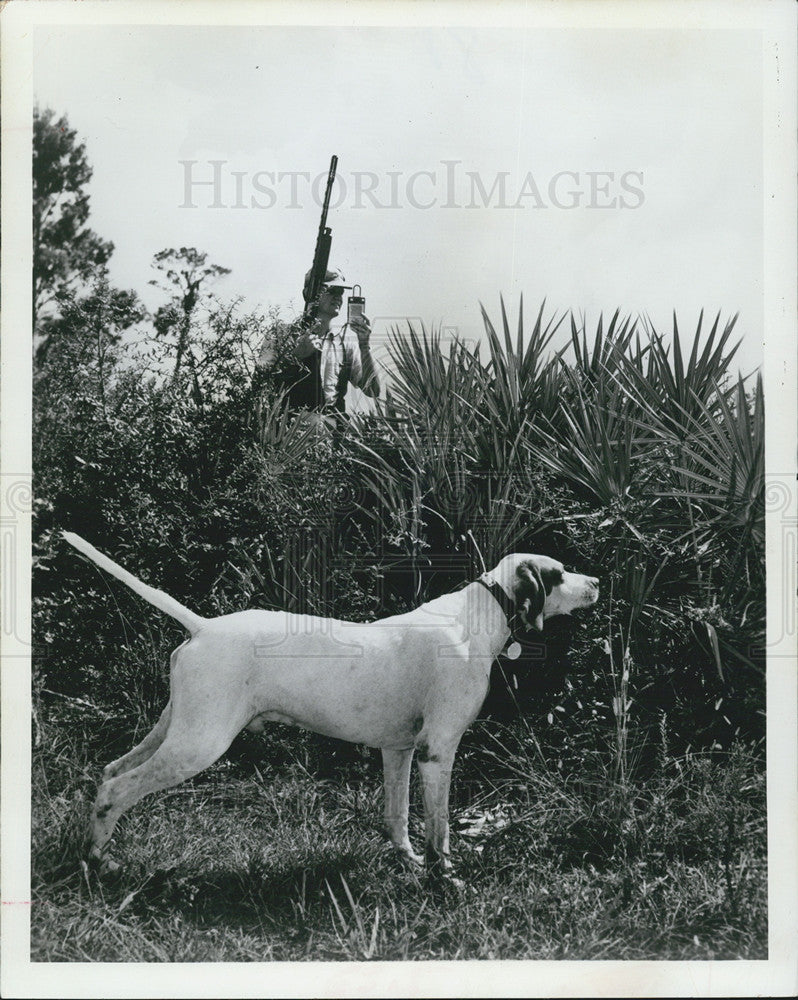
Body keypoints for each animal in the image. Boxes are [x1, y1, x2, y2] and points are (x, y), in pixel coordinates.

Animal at [64, 532, 600, 876]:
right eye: (558, 573)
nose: (596, 582)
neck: (475, 618)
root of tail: (204, 626)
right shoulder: (437, 751)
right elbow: (441, 830)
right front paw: (443, 876)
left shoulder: (400, 750)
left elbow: (397, 818)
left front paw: (409, 864)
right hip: (198, 744)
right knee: (117, 790)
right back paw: (100, 864)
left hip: (174, 730)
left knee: (109, 773)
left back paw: (97, 854)